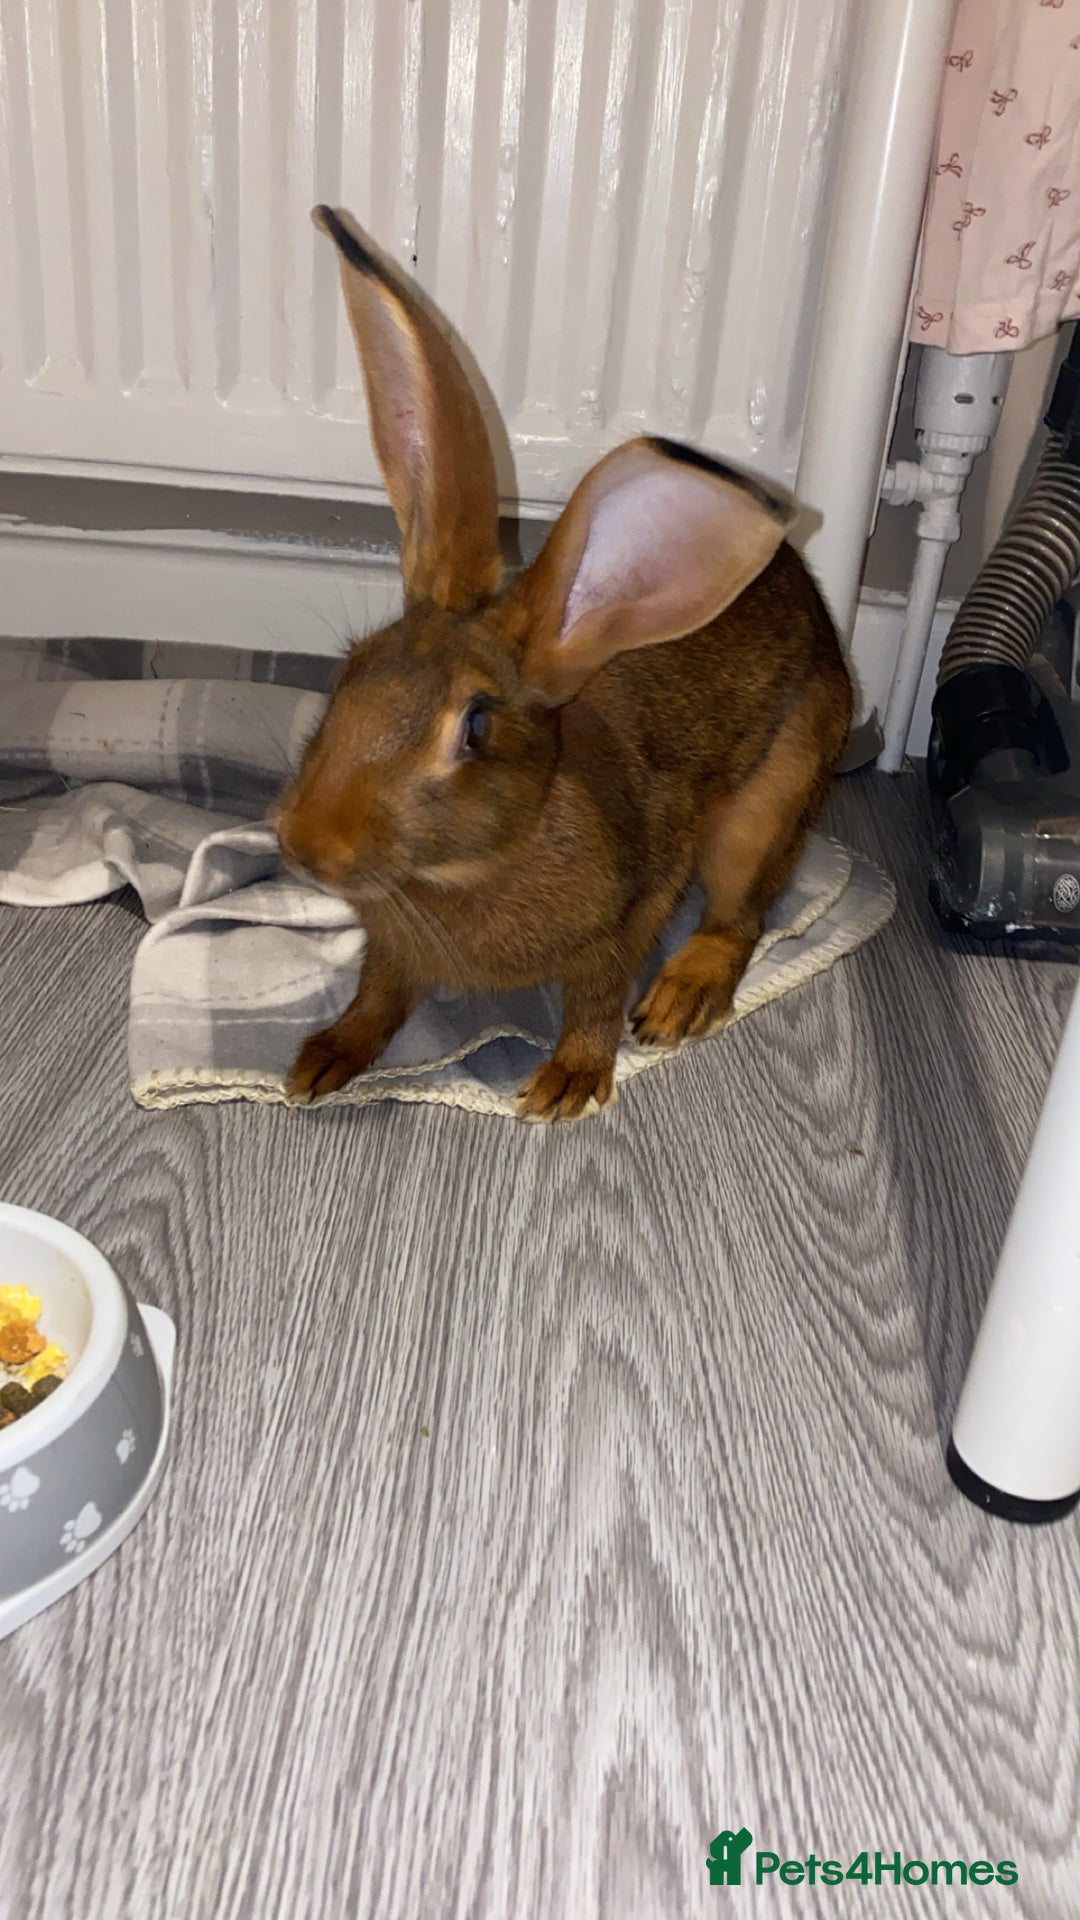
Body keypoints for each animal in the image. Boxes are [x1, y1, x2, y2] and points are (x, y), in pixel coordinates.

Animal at [277, 205, 853, 1121]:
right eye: (349, 671)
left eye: (475, 728)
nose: (305, 842)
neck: (467, 869)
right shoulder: (390, 948)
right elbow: (378, 990)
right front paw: (325, 1058)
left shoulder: (635, 908)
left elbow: (595, 998)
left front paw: (568, 1083)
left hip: (770, 802)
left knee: (740, 916)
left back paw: (680, 998)